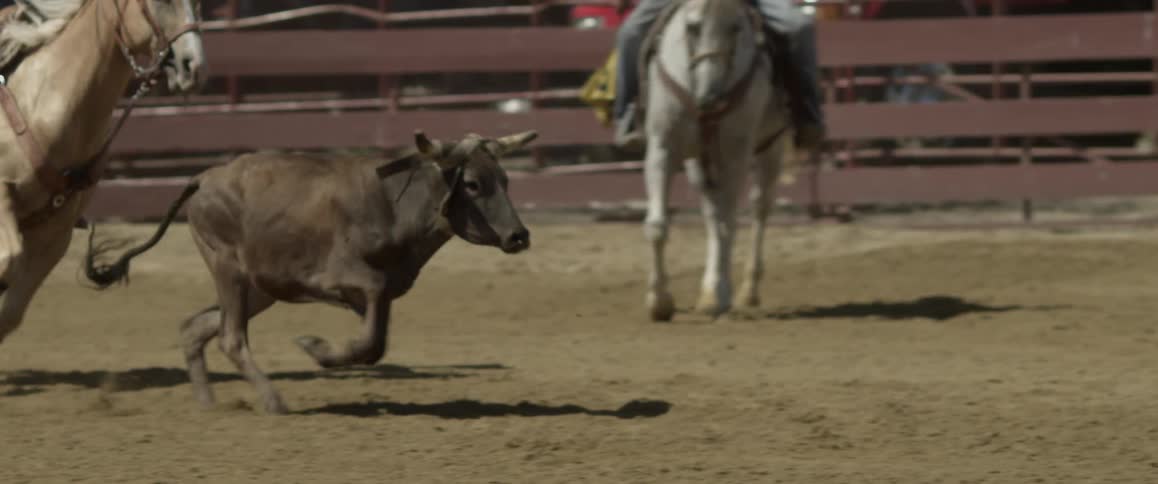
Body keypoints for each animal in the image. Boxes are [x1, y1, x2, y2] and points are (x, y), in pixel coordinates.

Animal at [83, 129, 538, 414]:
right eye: (473, 184)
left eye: (505, 179)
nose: (519, 236)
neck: (393, 203)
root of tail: (205, 177)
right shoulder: (341, 279)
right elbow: (371, 337)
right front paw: (314, 347)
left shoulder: (380, 293)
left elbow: (376, 340)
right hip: (227, 266)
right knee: (230, 337)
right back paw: (273, 401)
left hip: (258, 287)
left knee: (195, 327)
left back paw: (210, 403)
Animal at [640, 0, 791, 321]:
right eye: (692, 27)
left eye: (736, 27)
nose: (711, 97)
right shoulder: (661, 148)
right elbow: (657, 226)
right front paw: (659, 301)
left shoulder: (736, 154)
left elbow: (728, 224)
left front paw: (719, 293)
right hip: (700, 162)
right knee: (712, 212)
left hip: (772, 147)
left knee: (758, 209)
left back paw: (745, 290)